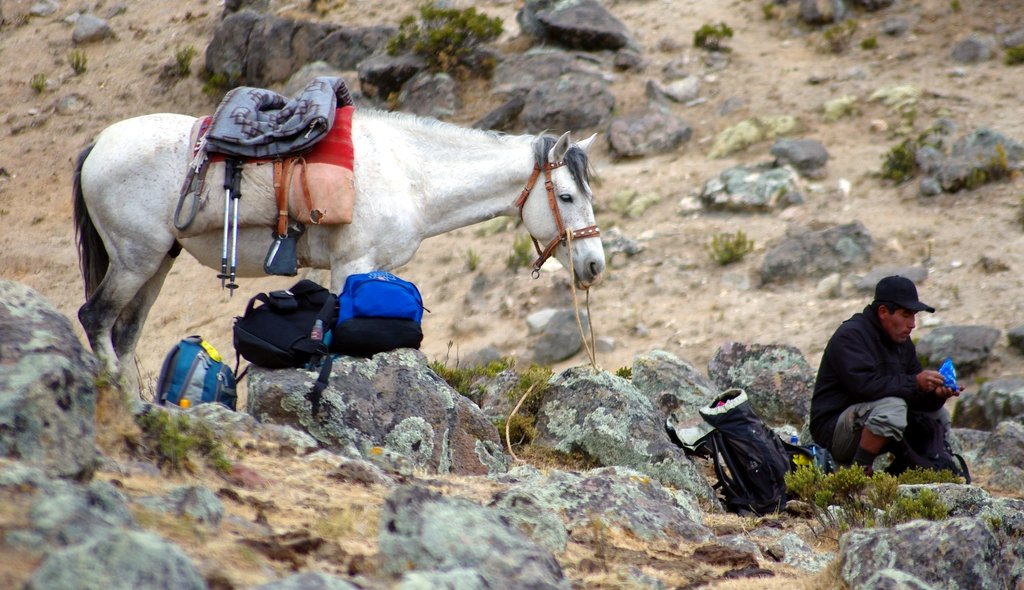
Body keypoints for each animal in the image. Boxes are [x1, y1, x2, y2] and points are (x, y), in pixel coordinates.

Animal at [74, 108, 606, 385]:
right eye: (566, 196)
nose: (595, 266)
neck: (410, 175)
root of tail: (99, 144)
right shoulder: (352, 265)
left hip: (157, 264)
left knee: (125, 334)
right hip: (135, 259)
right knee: (96, 319)